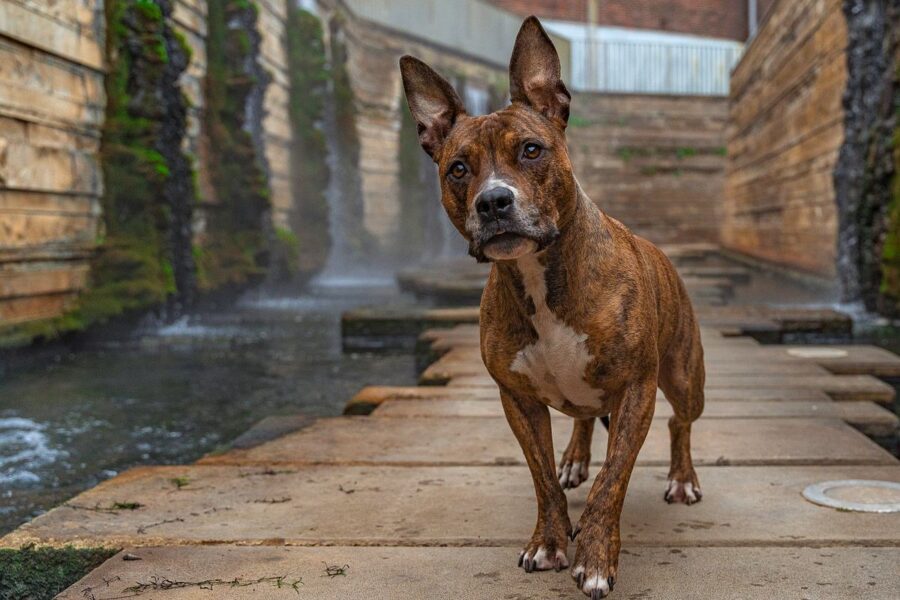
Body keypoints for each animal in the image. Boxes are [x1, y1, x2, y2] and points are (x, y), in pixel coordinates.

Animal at [400, 16, 704, 596]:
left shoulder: (636, 389)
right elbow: (542, 477)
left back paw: (681, 480)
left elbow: (614, 478)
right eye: (458, 168)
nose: (493, 202)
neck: (539, 275)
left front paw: (595, 555)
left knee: (680, 424)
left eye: (531, 150)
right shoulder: (517, 398)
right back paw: (576, 458)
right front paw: (549, 539)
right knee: (585, 421)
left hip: (682, 378)